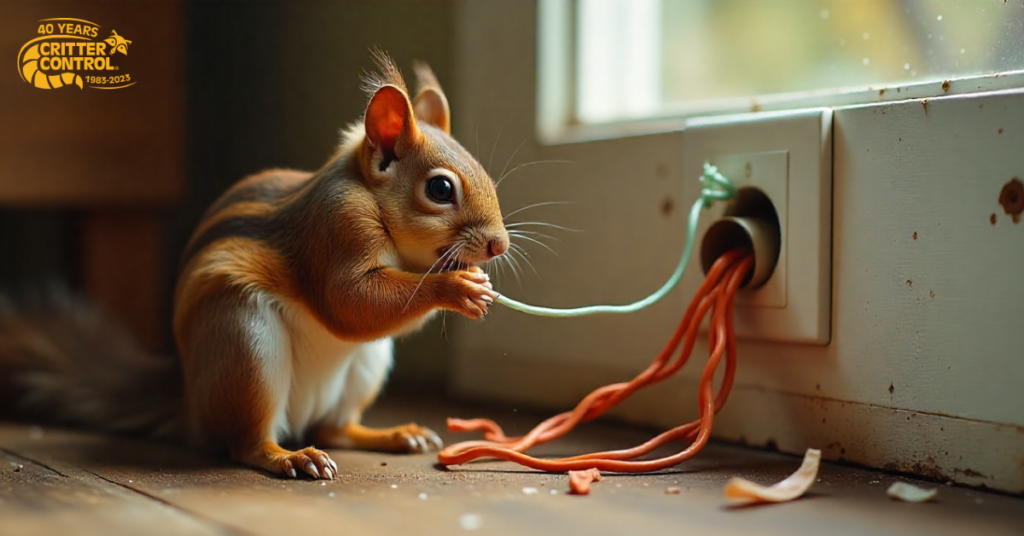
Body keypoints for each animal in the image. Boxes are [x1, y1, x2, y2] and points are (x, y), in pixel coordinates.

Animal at [0, 51, 508, 480]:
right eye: (440, 189)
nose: (498, 245)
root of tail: (193, 402)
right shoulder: (337, 227)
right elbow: (350, 302)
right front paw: (459, 288)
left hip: (367, 363)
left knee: (335, 429)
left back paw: (397, 434)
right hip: (245, 343)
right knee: (247, 442)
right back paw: (290, 457)